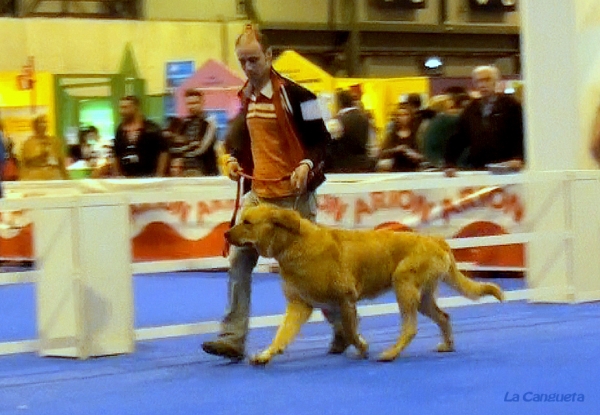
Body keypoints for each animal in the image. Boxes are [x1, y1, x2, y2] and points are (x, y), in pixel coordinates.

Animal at [227, 204, 504, 364]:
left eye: (247, 222)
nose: (226, 233)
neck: (293, 245)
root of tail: (438, 240)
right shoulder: (300, 305)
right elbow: (281, 335)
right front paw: (265, 355)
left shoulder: (344, 300)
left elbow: (350, 331)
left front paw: (362, 347)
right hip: (422, 296)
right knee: (444, 316)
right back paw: (447, 345)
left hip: (403, 284)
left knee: (410, 327)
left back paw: (390, 354)